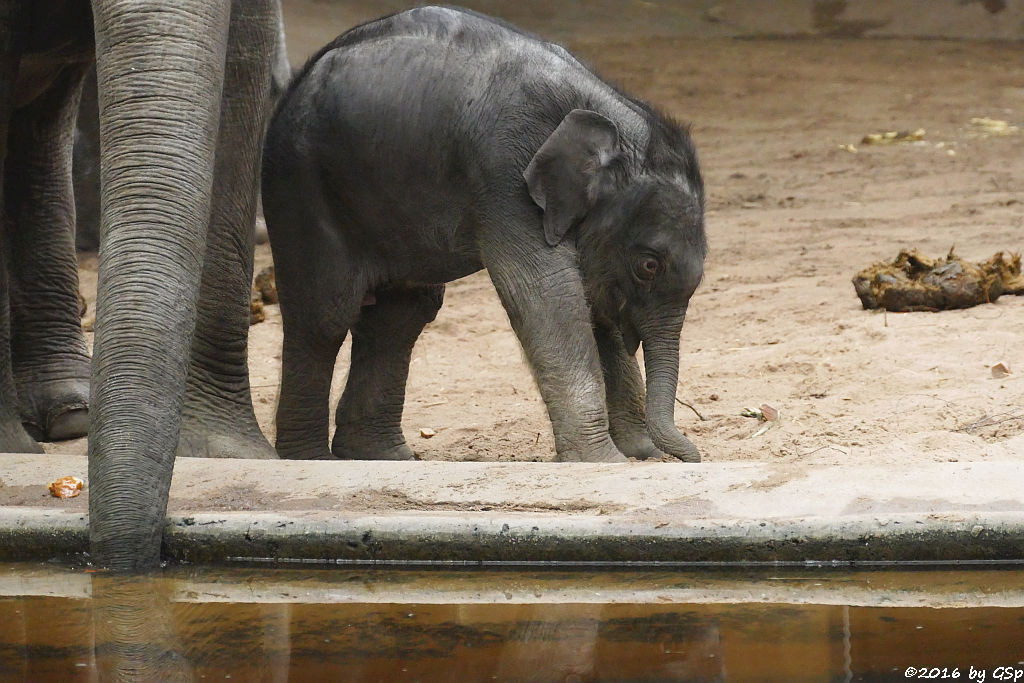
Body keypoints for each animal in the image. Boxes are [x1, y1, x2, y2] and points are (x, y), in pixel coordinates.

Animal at [264, 5, 708, 464]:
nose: (684, 457)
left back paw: (381, 456)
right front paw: (606, 463)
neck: (600, 114)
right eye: (649, 265)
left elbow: (592, 300)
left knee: (400, 315)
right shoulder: (505, 173)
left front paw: (639, 455)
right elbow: (545, 293)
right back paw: (311, 458)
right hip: (301, 184)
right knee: (325, 315)